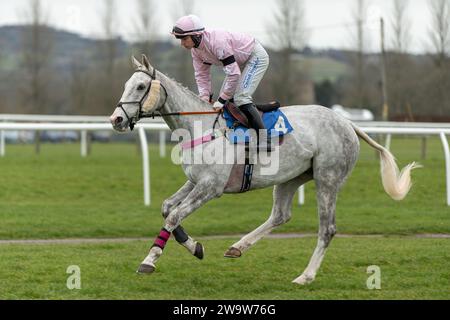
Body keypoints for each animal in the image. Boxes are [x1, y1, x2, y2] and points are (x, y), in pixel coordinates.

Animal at [110, 55, 418, 284]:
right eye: (126, 84)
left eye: (140, 87)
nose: (116, 119)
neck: (201, 127)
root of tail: (348, 123)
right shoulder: (195, 181)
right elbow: (167, 208)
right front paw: (195, 246)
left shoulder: (211, 187)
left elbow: (174, 216)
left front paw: (149, 260)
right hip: (291, 178)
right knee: (281, 215)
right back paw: (237, 247)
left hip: (328, 179)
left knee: (327, 228)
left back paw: (305, 276)